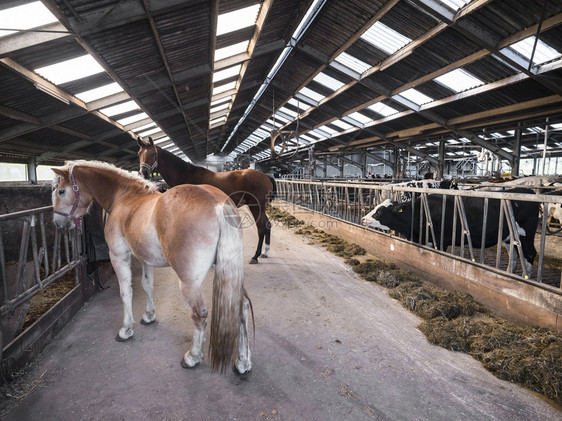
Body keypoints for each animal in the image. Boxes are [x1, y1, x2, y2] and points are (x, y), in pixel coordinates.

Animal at [51, 159, 253, 372]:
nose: (58, 223)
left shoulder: (119, 257)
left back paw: (192, 357)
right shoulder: (145, 259)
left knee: (200, 315)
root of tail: (218, 204)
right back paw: (242, 362)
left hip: (189, 282)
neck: (124, 198)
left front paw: (126, 330)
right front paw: (149, 316)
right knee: (241, 307)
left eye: (61, 191)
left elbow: (126, 292)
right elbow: (147, 286)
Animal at [137, 137, 274, 262]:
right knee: (268, 225)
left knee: (261, 228)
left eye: (153, 154)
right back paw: (265, 252)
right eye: (139, 153)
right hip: (260, 208)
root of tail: (266, 176)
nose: (144, 173)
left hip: (256, 207)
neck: (185, 174)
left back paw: (255, 256)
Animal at [360, 188, 540, 276]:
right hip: (509, 237)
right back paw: (510, 274)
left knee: (530, 254)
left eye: (379, 212)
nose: (363, 219)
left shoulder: (440, 241)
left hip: (526, 234)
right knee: (514, 256)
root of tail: (529, 191)